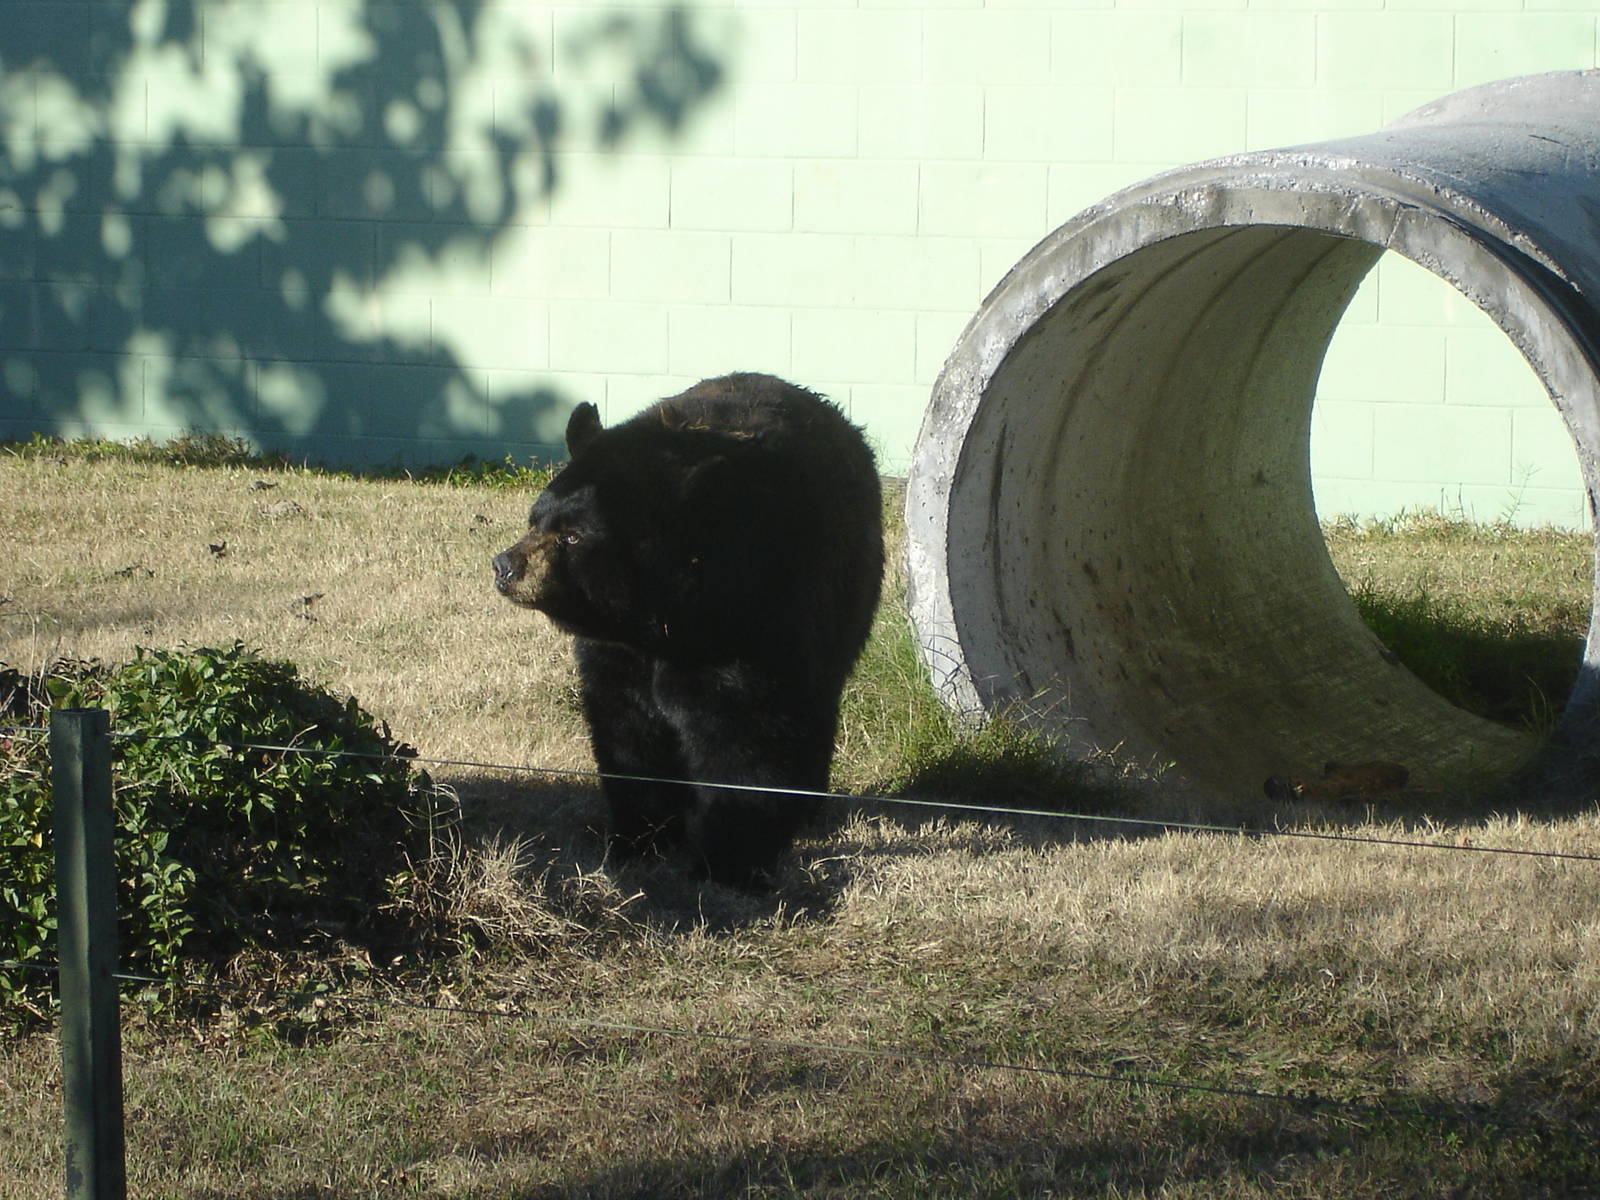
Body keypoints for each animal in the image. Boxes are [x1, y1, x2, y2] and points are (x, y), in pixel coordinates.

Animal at [492, 373, 884, 889]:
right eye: (535, 519)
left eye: (574, 535)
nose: (505, 566)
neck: (664, 620)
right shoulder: (617, 654)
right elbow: (627, 734)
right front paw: (640, 840)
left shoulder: (757, 622)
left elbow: (745, 740)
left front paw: (728, 864)